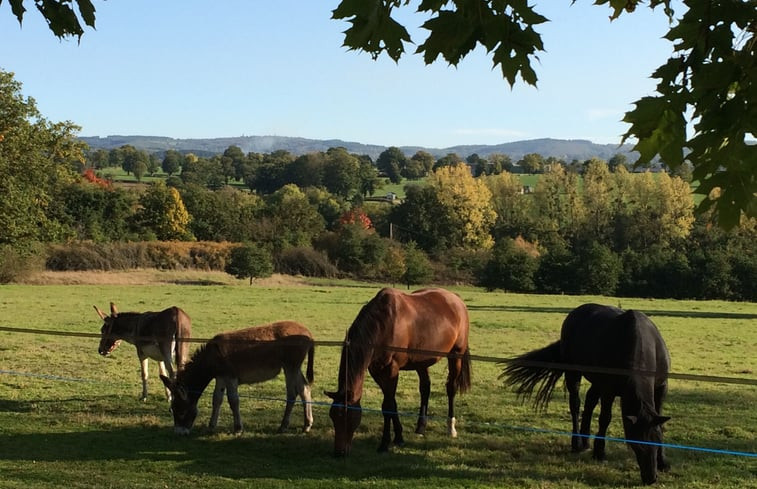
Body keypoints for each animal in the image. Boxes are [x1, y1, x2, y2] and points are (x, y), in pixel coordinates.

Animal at [159, 322, 314, 432]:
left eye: (181, 411)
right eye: (172, 410)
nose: (178, 433)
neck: (212, 356)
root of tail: (308, 332)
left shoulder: (230, 377)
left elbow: (233, 401)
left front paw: (238, 428)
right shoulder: (221, 377)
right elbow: (217, 399)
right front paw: (211, 426)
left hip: (290, 367)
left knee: (292, 393)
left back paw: (283, 426)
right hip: (294, 367)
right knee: (304, 389)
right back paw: (307, 425)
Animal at [324, 288, 470, 456]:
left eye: (348, 418)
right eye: (333, 417)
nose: (339, 453)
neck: (383, 325)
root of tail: (456, 299)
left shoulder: (391, 370)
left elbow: (387, 406)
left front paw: (384, 443)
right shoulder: (376, 370)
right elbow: (391, 403)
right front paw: (399, 437)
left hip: (456, 355)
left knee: (451, 387)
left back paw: (451, 427)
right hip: (421, 361)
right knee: (425, 389)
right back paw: (421, 427)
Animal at [502, 304, 668, 482]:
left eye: (657, 440)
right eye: (636, 444)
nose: (650, 478)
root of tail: (576, 311)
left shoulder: (661, 388)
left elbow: (660, 423)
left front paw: (663, 462)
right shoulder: (608, 390)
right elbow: (605, 418)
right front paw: (599, 452)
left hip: (596, 381)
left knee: (589, 401)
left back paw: (586, 440)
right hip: (573, 374)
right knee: (575, 405)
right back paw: (577, 444)